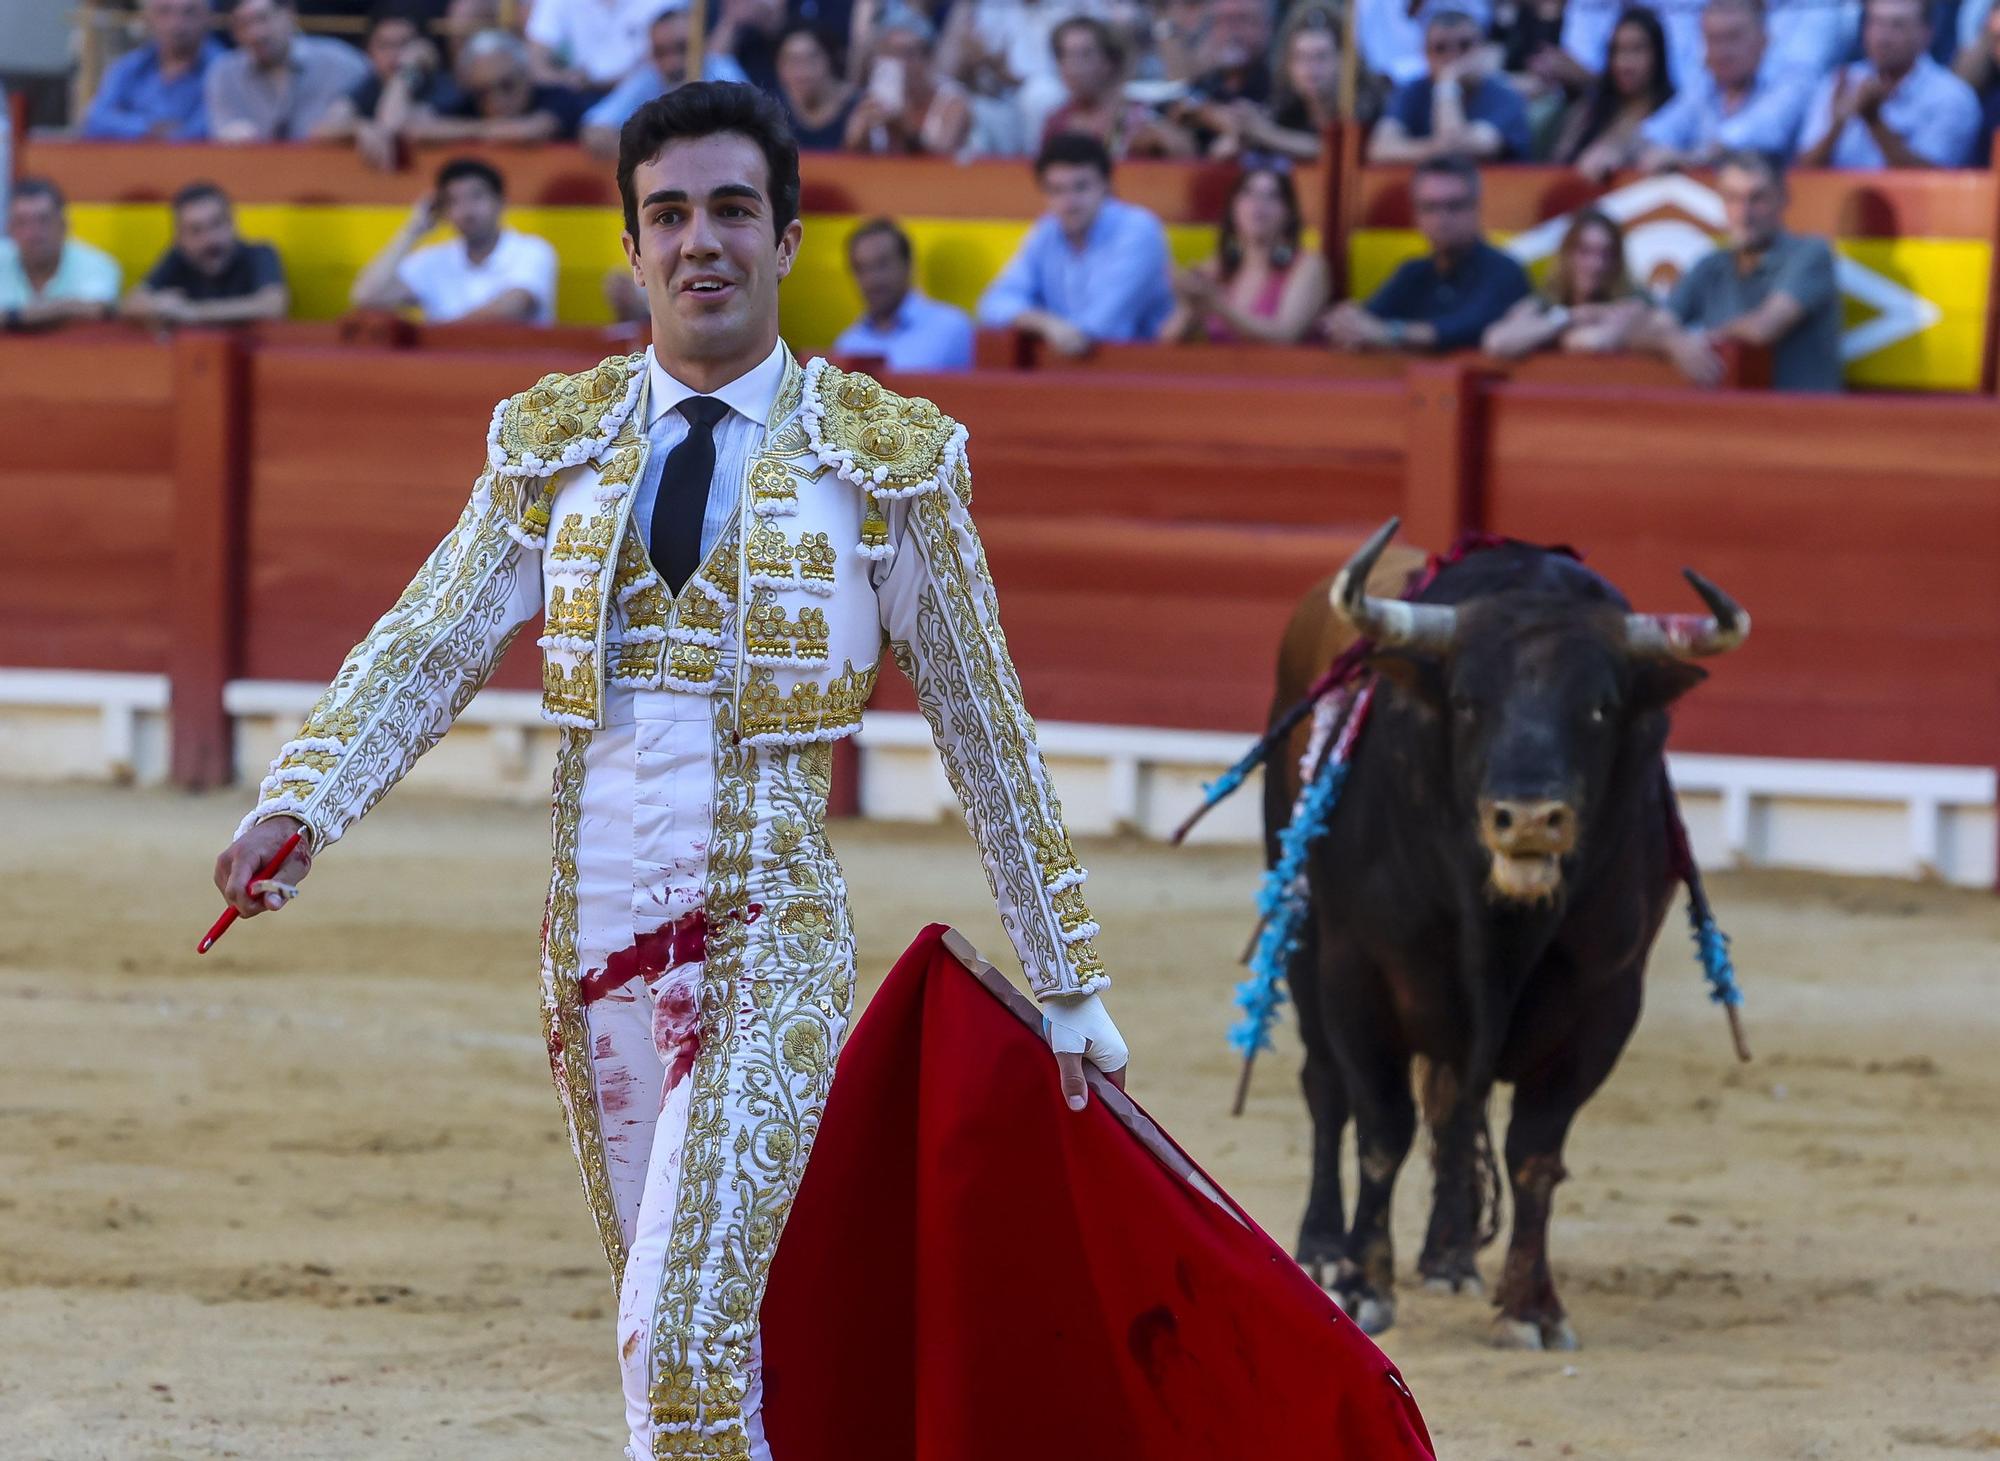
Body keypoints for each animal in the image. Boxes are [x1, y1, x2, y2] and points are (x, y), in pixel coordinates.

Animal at [1264, 516, 1752, 1344]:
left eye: (1600, 707)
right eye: (1467, 701)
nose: (1527, 818)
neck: (1502, 930)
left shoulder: (1607, 1001)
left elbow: (1534, 1151)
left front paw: (1531, 1304)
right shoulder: (1356, 973)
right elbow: (1381, 1128)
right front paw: (1363, 1284)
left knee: (1458, 1109)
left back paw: (1450, 1255)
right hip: (1300, 935)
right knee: (1327, 1087)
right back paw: (1323, 1244)